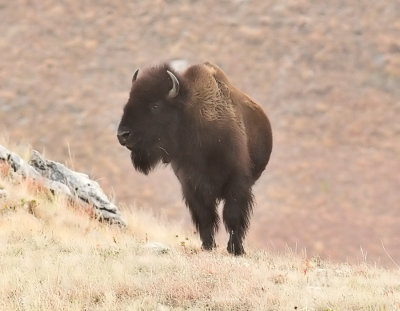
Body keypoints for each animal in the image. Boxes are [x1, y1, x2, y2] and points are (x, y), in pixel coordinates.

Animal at [116, 61, 272, 256]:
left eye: (155, 105)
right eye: (129, 100)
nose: (122, 134)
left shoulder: (237, 183)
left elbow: (232, 215)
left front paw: (236, 250)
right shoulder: (191, 186)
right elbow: (204, 216)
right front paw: (207, 246)